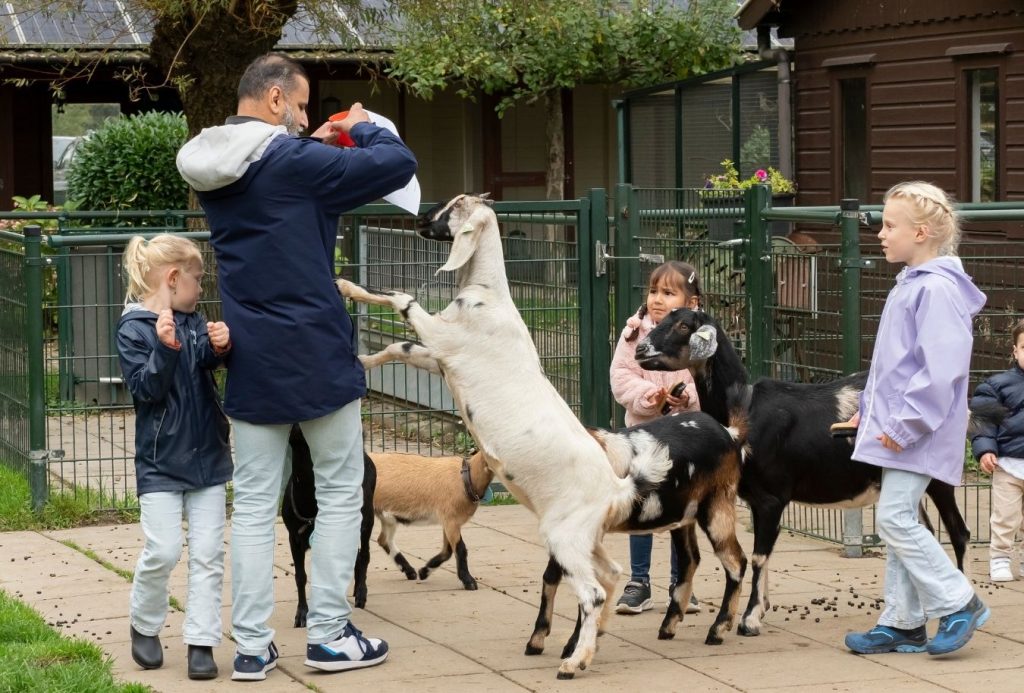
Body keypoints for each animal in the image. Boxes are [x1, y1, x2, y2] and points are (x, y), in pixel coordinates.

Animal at [282, 426, 376, 626]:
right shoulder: (293, 537)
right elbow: (301, 576)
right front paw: (302, 613)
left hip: (367, 519)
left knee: (364, 554)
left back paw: (361, 593)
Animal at [372, 450, 493, 590]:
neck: (465, 478)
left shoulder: (449, 522)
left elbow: (448, 551)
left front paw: (424, 572)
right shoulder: (451, 520)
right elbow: (460, 549)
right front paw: (469, 581)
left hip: (387, 516)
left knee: (383, 539)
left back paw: (410, 571)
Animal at [635, 308, 977, 637]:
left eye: (682, 325)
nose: (639, 349)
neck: (743, 409)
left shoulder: (771, 497)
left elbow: (759, 555)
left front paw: (750, 620)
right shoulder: (756, 499)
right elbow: (765, 552)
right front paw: (761, 609)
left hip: (938, 478)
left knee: (958, 532)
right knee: (927, 531)